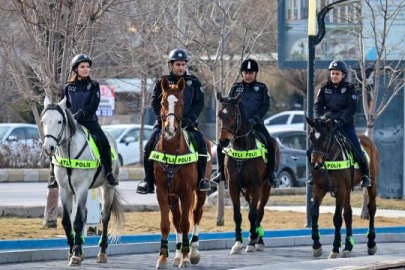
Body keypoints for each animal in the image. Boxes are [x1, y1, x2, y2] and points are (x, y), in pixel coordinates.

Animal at [40, 97, 124, 266]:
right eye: (43, 121)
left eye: (59, 121)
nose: (48, 148)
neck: (69, 152)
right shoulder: (65, 190)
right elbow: (67, 221)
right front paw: (72, 251)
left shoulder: (81, 189)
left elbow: (78, 221)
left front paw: (76, 254)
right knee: (85, 214)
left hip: (107, 188)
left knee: (105, 216)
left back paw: (102, 252)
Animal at [151, 76, 210, 268]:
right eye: (162, 102)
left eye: (182, 103)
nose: (170, 129)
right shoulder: (163, 192)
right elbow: (166, 224)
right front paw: (163, 258)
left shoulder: (187, 193)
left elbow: (186, 224)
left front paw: (186, 257)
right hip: (173, 196)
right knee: (176, 219)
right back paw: (176, 254)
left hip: (200, 192)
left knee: (196, 214)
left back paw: (193, 252)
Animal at [216, 92, 280, 254]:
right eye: (219, 114)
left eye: (233, 115)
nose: (223, 141)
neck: (241, 148)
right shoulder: (233, 186)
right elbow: (237, 215)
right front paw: (237, 242)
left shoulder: (256, 186)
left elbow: (253, 214)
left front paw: (251, 241)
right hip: (246, 190)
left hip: (265, 187)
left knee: (259, 211)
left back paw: (258, 240)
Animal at [306, 118, 378, 260]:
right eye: (311, 138)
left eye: (325, 138)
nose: (316, 164)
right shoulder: (318, 188)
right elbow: (315, 212)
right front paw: (317, 246)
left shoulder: (341, 190)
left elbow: (337, 218)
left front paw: (334, 248)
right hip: (348, 190)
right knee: (348, 213)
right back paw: (348, 247)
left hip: (371, 185)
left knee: (371, 208)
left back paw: (371, 243)